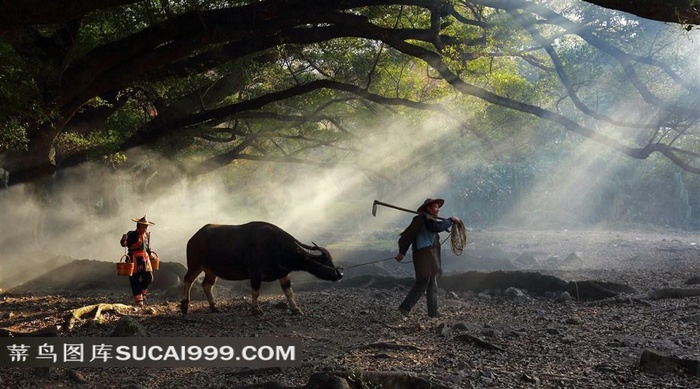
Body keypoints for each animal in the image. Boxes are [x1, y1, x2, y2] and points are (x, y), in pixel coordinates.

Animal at [182, 220, 344, 314]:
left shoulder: (284, 273)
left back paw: (214, 306)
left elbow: (289, 291)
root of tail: (193, 238)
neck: (276, 247)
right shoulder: (255, 274)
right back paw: (185, 306)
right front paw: (256, 309)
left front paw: (296, 309)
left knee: (206, 285)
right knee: (188, 279)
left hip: (211, 270)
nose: (339, 275)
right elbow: (256, 292)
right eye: (325, 260)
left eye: (330, 259)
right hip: (195, 264)